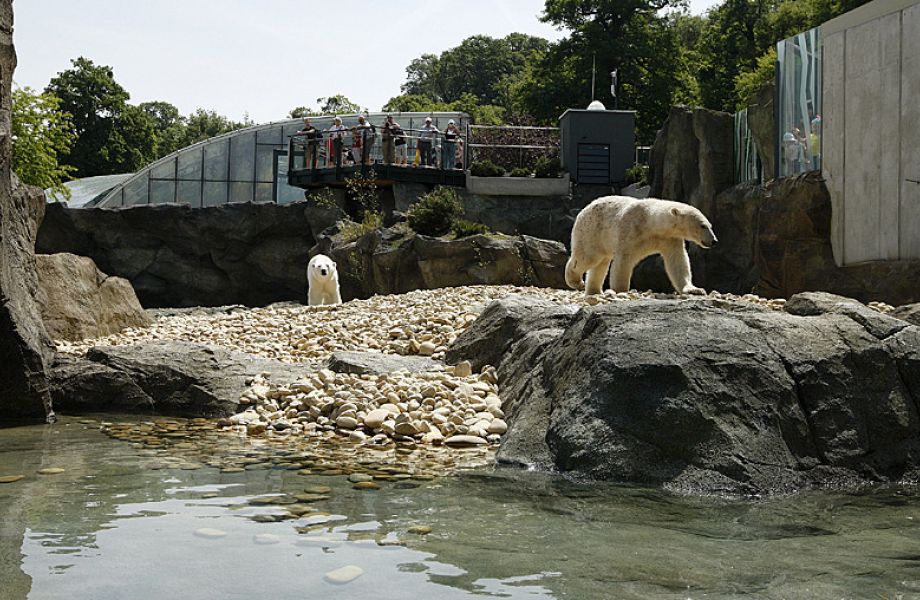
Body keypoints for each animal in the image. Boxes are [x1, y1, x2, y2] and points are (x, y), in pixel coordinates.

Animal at [560, 196, 720, 296]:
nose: (714, 241)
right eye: (703, 226)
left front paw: (694, 290)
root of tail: (584, 209)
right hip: (592, 231)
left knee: (601, 264)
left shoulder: (670, 239)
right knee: (588, 257)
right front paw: (619, 290)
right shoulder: (631, 231)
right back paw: (576, 281)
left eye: (710, 225)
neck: (651, 221)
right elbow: (623, 261)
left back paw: (594, 291)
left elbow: (677, 261)